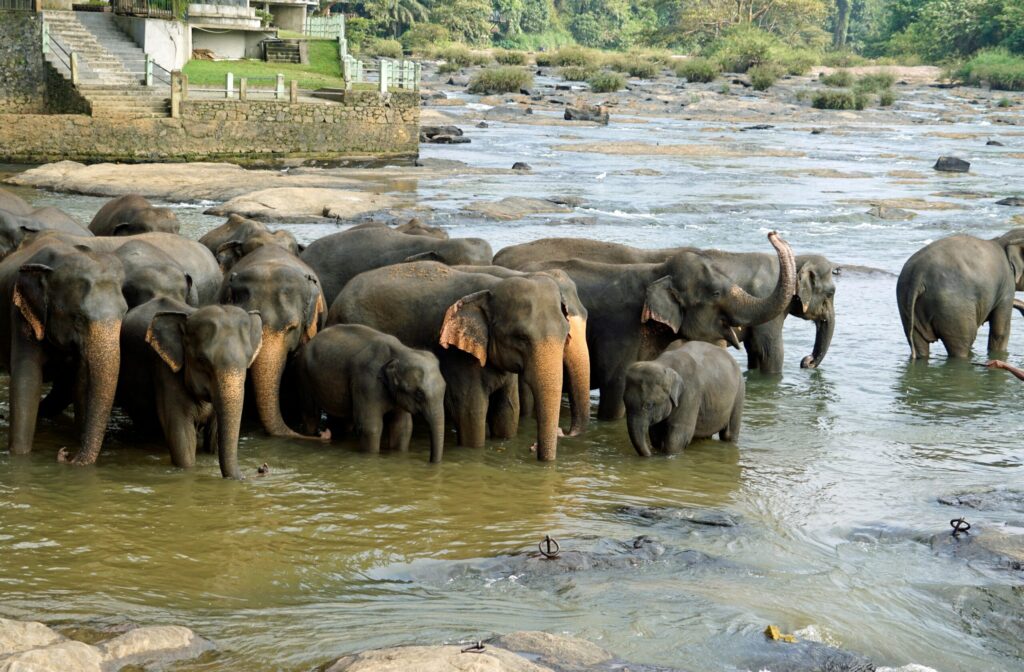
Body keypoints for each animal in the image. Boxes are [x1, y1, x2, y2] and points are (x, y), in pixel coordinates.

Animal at [0, 236, 127, 463]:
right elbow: (27, 381)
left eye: (125, 312)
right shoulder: (21, 314)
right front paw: (20, 458)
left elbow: (81, 381)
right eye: (78, 318)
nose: (66, 454)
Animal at [116, 298, 262, 478]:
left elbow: (214, 434)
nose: (262, 468)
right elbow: (182, 435)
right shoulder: (165, 370)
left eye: (249, 358)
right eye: (202, 360)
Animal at [295, 324, 446, 462]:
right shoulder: (366, 382)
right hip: (304, 374)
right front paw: (370, 458)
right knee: (311, 415)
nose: (430, 462)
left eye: (445, 388)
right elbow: (370, 427)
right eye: (419, 393)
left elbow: (402, 427)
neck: (401, 351)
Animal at [330, 262, 584, 461]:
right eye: (520, 337)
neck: (491, 288)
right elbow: (471, 410)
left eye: (565, 334)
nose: (535, 450)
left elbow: (508, 409)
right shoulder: (456, 354)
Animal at [897, 229, 1024, 359]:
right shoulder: (1007, 286)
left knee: (918, 343)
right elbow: (1000, 331)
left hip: (905, 300)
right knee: (963, 342)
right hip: (954, 306)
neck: (1002, 240)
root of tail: (918, 274)